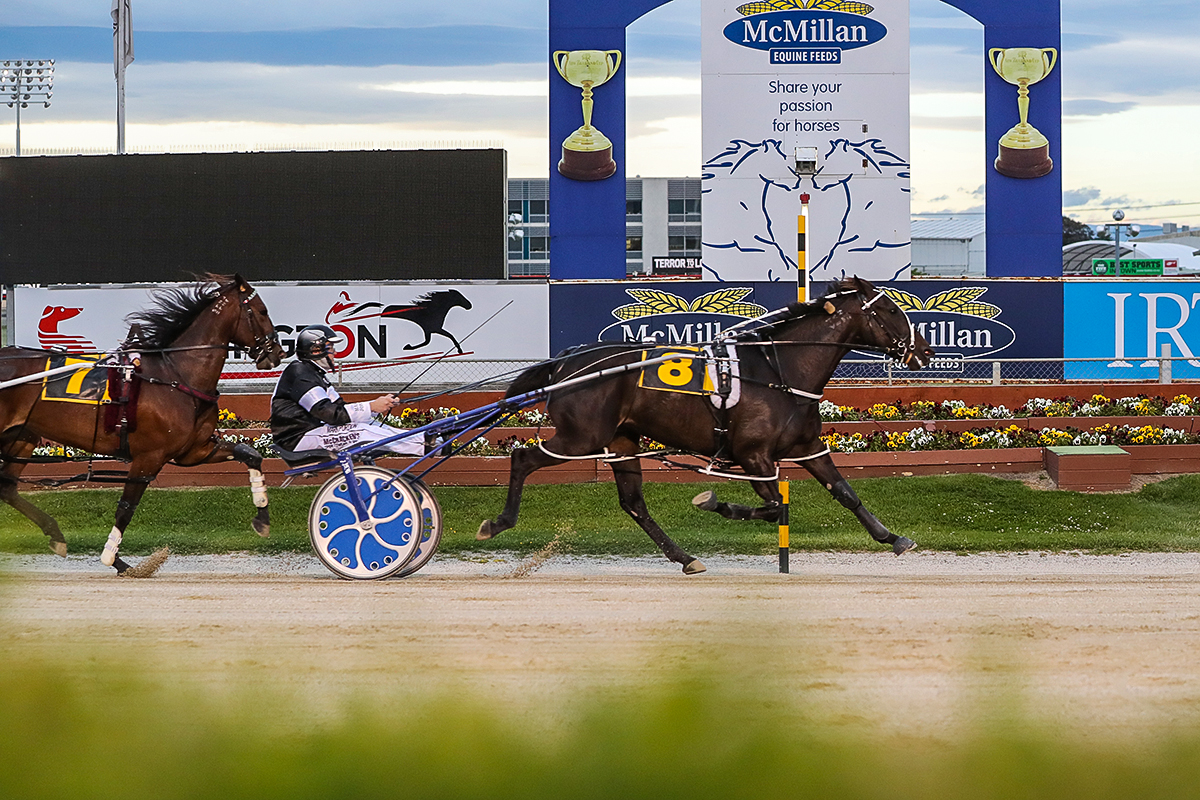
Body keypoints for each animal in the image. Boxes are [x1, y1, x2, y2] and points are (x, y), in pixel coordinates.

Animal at [0, 274, 284, 575]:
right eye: (262, 311)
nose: (277, 352)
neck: (174, 376)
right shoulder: (148, 457)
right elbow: (126, 508)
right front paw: (115, 559)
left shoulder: (194, 451)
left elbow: (250, 455)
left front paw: (263, 518)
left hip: (22, 435)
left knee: (7, 488)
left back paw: (55, 535)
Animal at [476, 276, 934, 574]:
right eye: (890, 310)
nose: (925, 350)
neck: (780, 369)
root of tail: (565, 360)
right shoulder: (753, 457)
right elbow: (774, 507)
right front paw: (716, 503)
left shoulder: (805, 448)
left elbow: (846, 493)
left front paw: (893, 538)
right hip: (580, 437)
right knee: (522, 458)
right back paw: (498, 522)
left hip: (621, 441)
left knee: (633, 503)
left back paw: (684, 558)